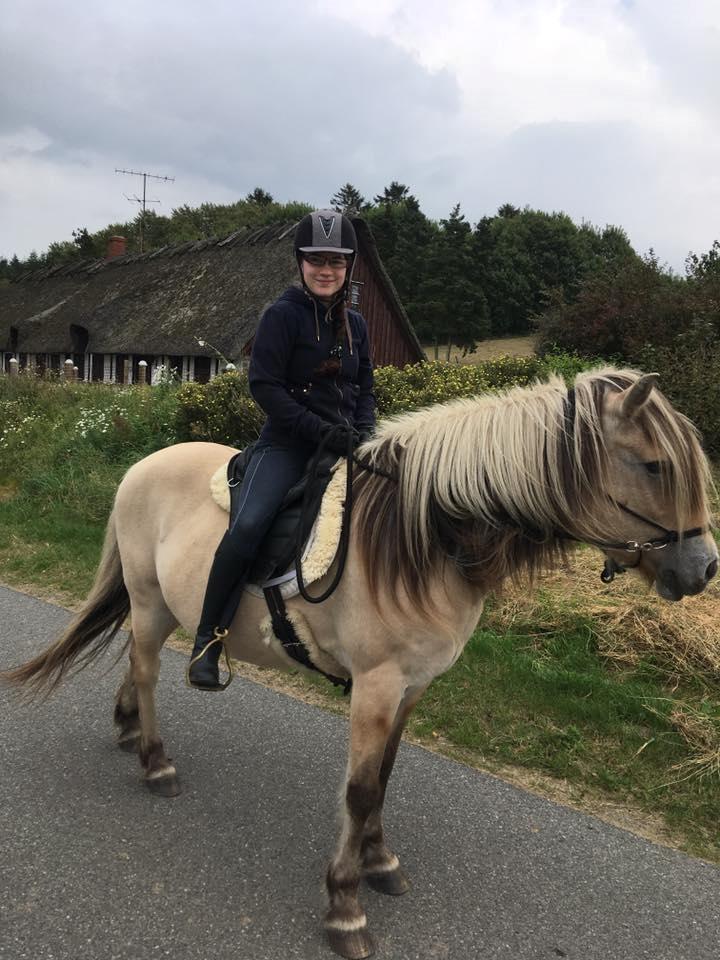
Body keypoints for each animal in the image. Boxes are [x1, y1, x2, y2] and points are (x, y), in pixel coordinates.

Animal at [2, 364, 716, 956]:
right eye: (654, 466)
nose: (704, 568)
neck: (426, 539)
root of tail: (140, 467)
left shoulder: (414, 687)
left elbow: (386, 777)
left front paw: (379, 862)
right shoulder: (376, 685)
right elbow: (361, 787)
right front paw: (345, 904)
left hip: (166, 606)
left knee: (134, 664)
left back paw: (127, 729)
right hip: (151, 601)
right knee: (148, 672)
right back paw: (154, 760)